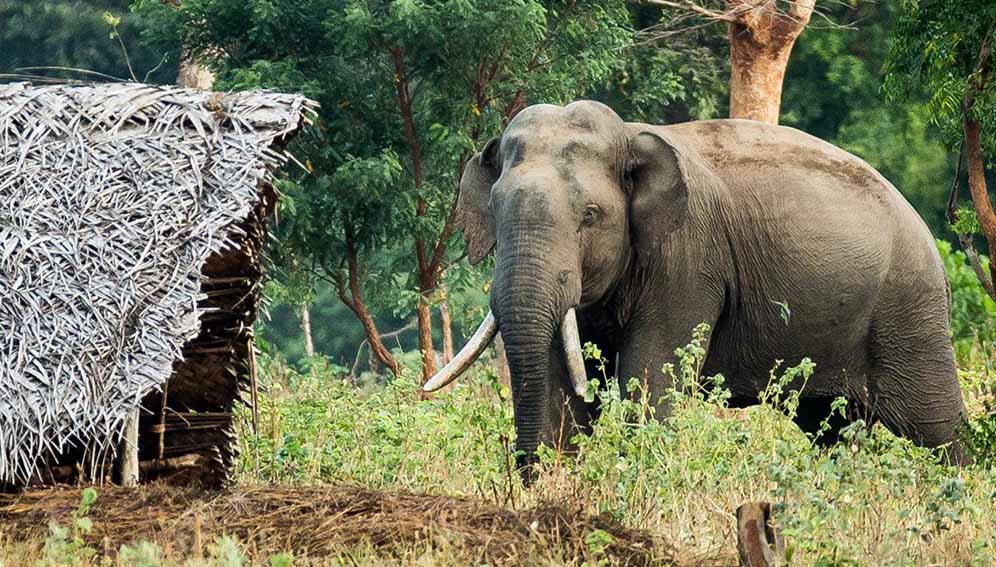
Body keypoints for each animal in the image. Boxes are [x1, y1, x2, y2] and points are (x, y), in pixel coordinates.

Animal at [424, 100, 967, 468]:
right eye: (496, 209)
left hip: (907, 311)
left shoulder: (688, 260)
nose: (525, 471)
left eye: (590, 216)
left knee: (936, 427)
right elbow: (563, 386)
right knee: (829, 428)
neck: (631, 135)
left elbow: (649, 380)